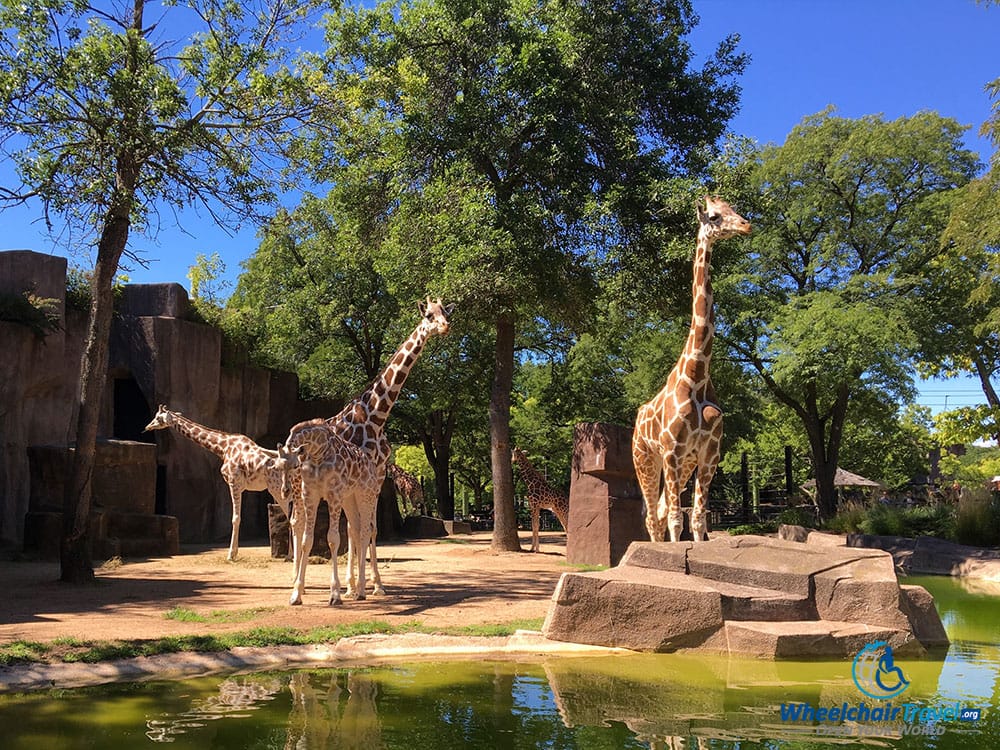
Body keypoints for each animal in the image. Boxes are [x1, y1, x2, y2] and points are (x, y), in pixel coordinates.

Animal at [144, 408, 300, 560]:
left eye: (158, 418)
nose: (147, 427)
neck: (223, 447)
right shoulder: (240, 487)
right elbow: (237, 518)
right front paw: (234, 552)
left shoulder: (234, 483)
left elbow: (235, 518)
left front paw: (231, 554)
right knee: (293, 518)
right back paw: (291, 555)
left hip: (278, 491)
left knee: (291, 518)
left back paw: (291, 556)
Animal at [282, 298, 454, 604]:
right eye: (428, 315)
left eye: (445, 312)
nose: (444, 327)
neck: (376, 416)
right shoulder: (361, 482)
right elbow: (357, 530)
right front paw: (359, 586)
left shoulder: (373, 478)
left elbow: (363, 529)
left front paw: (365, 585)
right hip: (300, 488)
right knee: (297, 523)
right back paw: (296, 582)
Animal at [632, 197, 752, 544]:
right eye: (714, 216)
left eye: (733, 209)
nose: (746, 225)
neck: (698, 374)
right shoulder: (672, 450)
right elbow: (676, 519)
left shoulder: (709, 453)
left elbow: (697, 520)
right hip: (645, 458)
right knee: (653, 516)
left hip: (683, 463)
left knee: (658, 512)